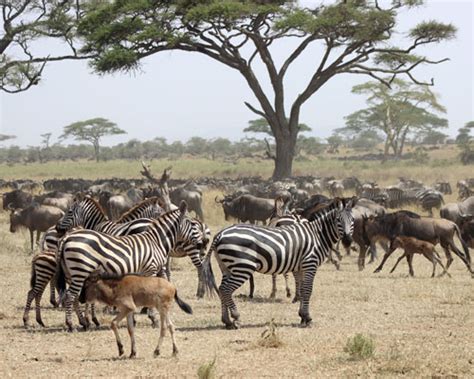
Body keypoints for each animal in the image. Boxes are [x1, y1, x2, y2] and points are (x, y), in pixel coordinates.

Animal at [56, 202, 203, 332]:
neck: (156, 241)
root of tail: (67, 238)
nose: (202, 243)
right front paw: (153, 319)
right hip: (79, 271)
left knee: (74, 296)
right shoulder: (150, 269)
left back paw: (83, 323)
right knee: (70, 295)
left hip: (73, 273)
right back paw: (71, 325)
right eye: (192, 224)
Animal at [201, 199, 356, 330]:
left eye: (353, 220)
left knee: (221, 289)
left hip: (226, 267)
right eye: (338, 220)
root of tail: (220, 234)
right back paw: (236, 318)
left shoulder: (301, 267)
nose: (348, 240)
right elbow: (307, 290)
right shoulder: (310, 264)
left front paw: (302, 316)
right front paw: (308, 318)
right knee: (226, 289)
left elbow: (301, 289)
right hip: (242, 267)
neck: (318, 235)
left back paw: (226, 321)